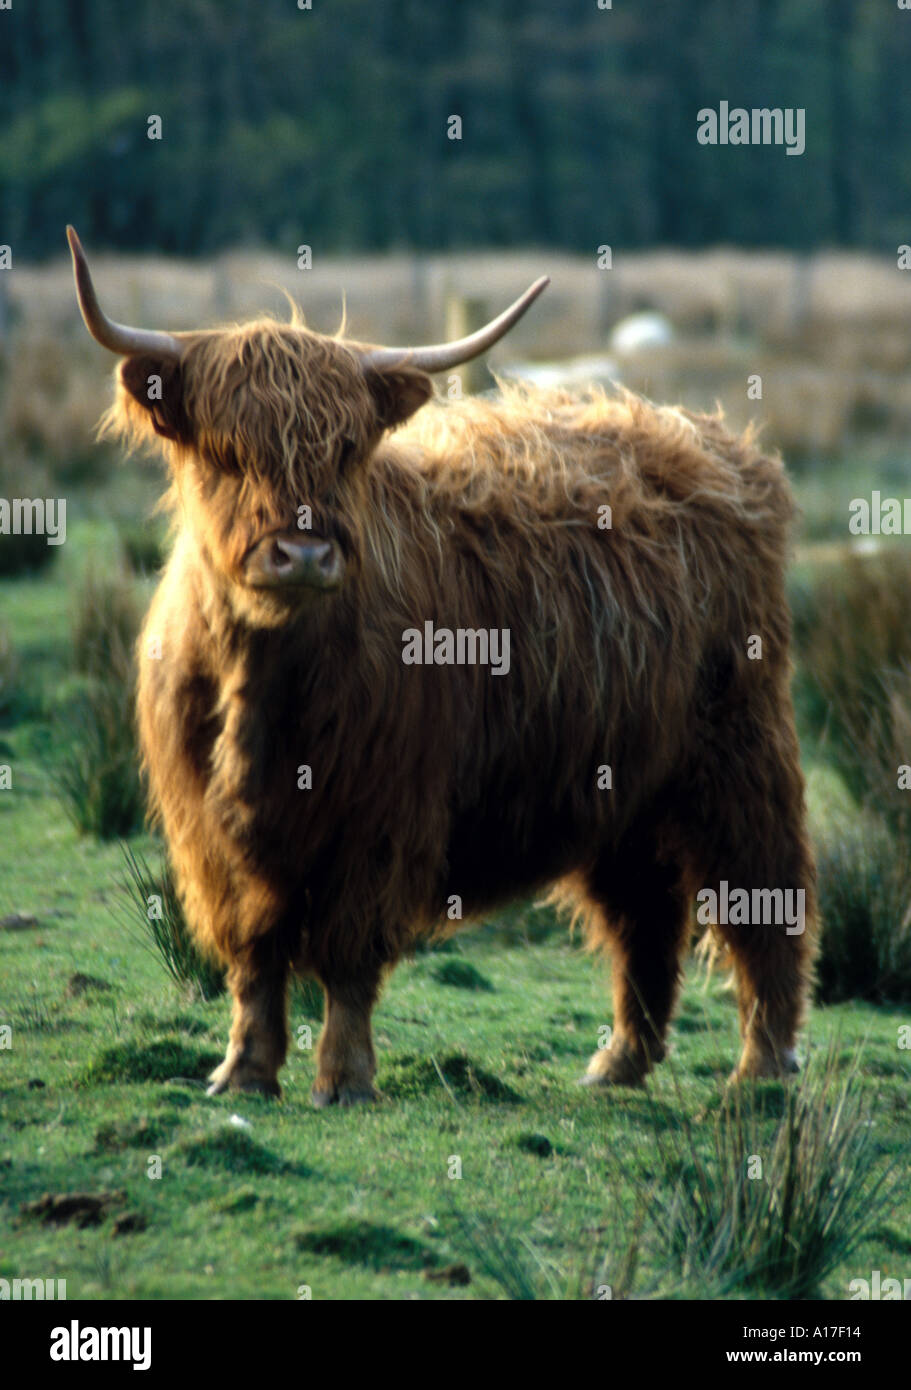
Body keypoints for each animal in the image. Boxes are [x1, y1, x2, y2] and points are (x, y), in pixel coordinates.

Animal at [67, 226, 816, 1105]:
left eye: (345, 451)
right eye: (226, 450)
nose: (303, 553)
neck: (265, 690)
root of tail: (718, 444)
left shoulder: (381, 818)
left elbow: (348, 958)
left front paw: (344, 1080)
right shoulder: (208, 838)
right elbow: (252, 956)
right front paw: (243, 1072)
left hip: (737, 752)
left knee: (763, 897)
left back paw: (760, 1067)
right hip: (622, 778)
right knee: (642, 914)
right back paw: (619, 1062)